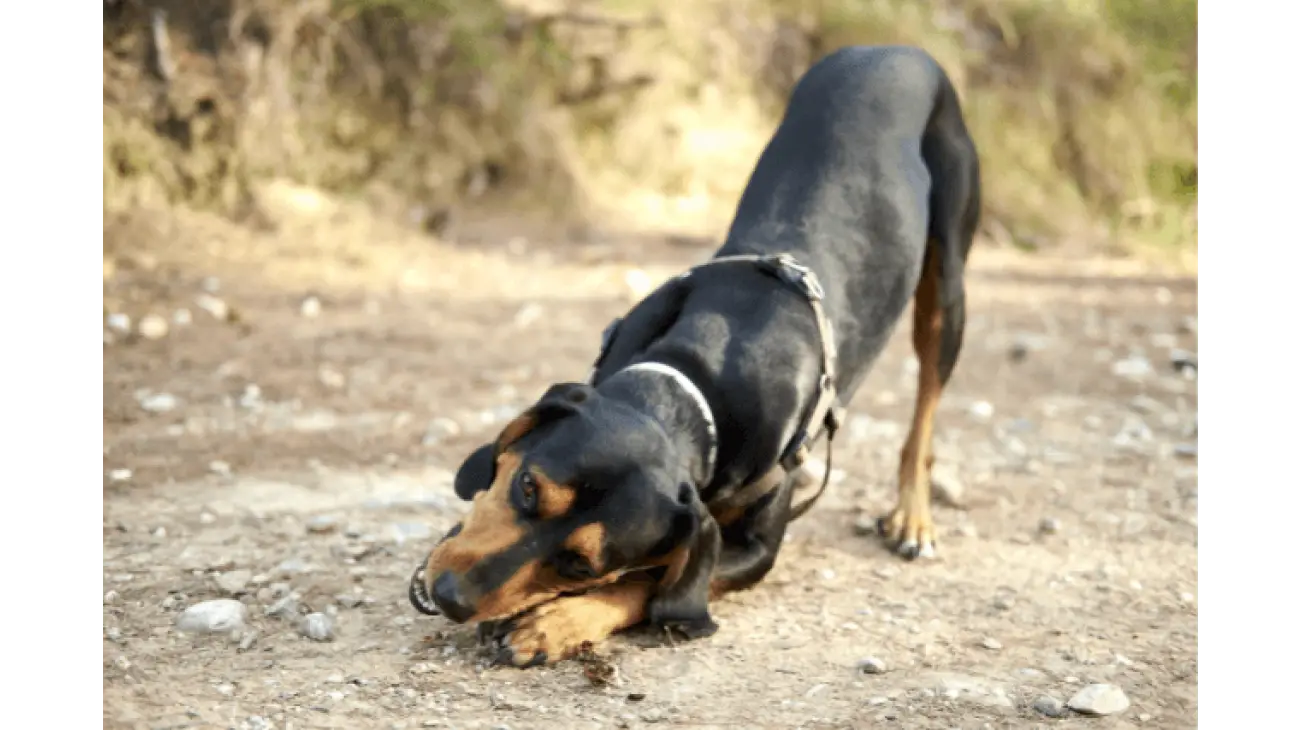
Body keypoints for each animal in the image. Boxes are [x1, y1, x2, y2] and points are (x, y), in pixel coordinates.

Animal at [410, 45, 977, 670]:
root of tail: (894, 49)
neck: (699, 387)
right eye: (528, 487)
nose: (450, 596)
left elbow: (655, 582)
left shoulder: (754, 549)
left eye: (581, 564)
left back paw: (913, 516)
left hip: (947, 288)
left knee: (924, 409)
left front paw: (555, 621)